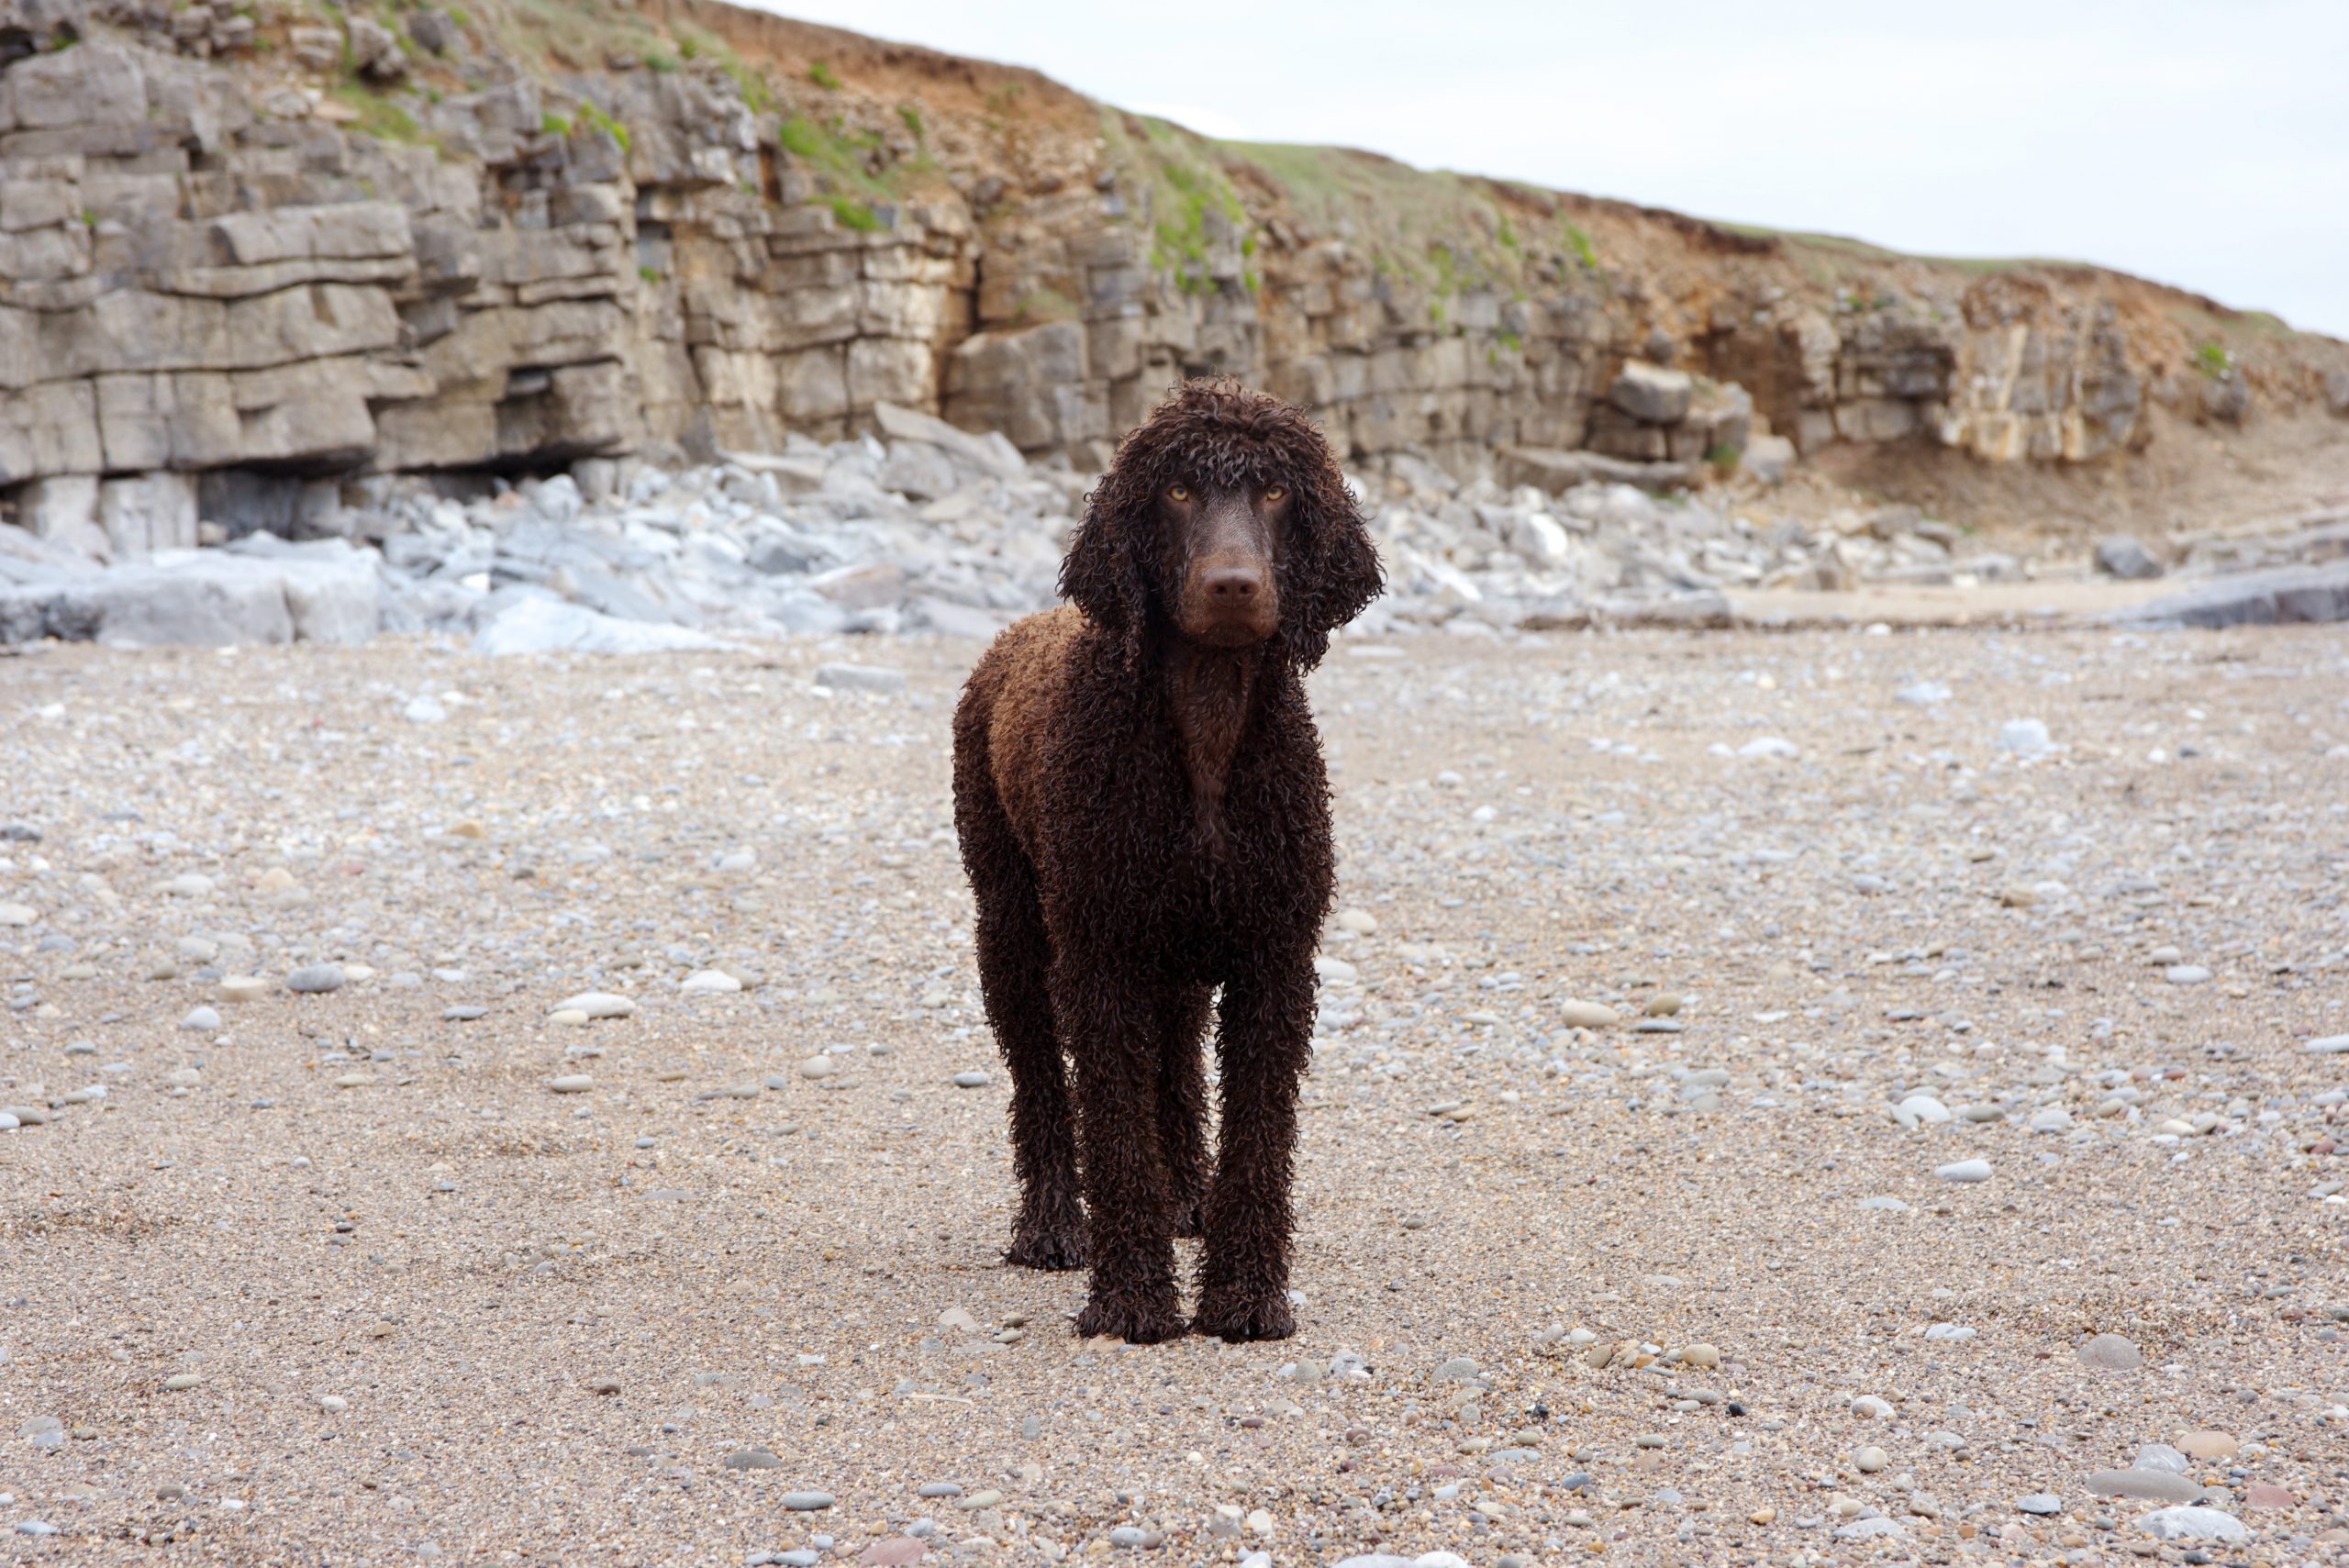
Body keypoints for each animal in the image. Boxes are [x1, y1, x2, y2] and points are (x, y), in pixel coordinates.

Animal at [953, 383, 1381, 1351]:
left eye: (1276, 492)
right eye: (1177, 491)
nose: (1232, 586)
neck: (1205, 726)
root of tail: (1018, 630)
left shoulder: (1274, 956)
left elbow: (1258, 1133)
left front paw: (1248, 1296)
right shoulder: (1103, 954)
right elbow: (1112, 1122)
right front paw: (1133, 1298)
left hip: (1178, 956)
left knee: (1178, 1066)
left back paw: (1188, 1194)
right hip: (1013, 929)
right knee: (1041, 1082)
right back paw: (1052, 1224)